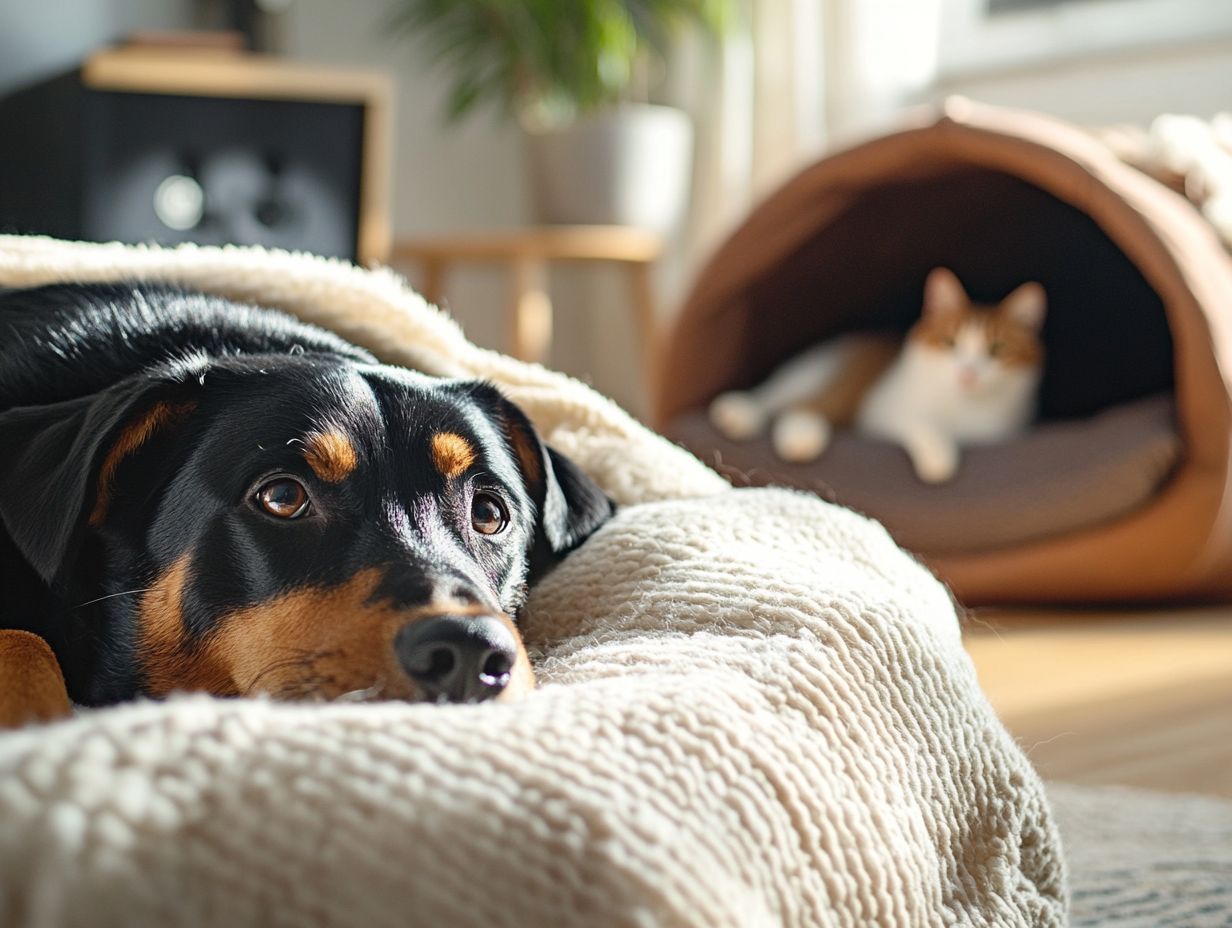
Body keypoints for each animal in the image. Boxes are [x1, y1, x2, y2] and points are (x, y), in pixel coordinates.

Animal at [709, 267, 1044, 480]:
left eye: (997, 350)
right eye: (950, 343)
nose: (968, 373)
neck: (965, 408)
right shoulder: (882, 410)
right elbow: (918, 422)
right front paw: (939, 456)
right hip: (817, 376)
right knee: (791, 404)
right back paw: (773, 426)